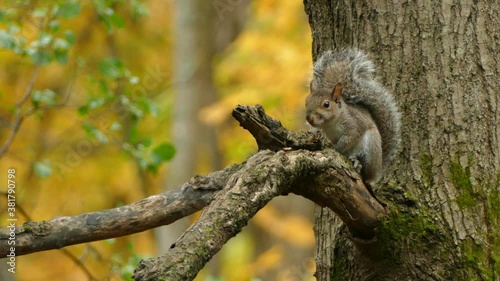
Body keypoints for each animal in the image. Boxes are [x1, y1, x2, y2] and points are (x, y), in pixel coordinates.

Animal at [304, 48, 402, 188]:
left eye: (326, 104)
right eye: (306, 102)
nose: (309, 119)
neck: (329, 124)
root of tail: (378, 170)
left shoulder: (354, 124)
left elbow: (350, 138)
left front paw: (335, 147)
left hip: (370, 147)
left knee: (366, 172)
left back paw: (357, 162)